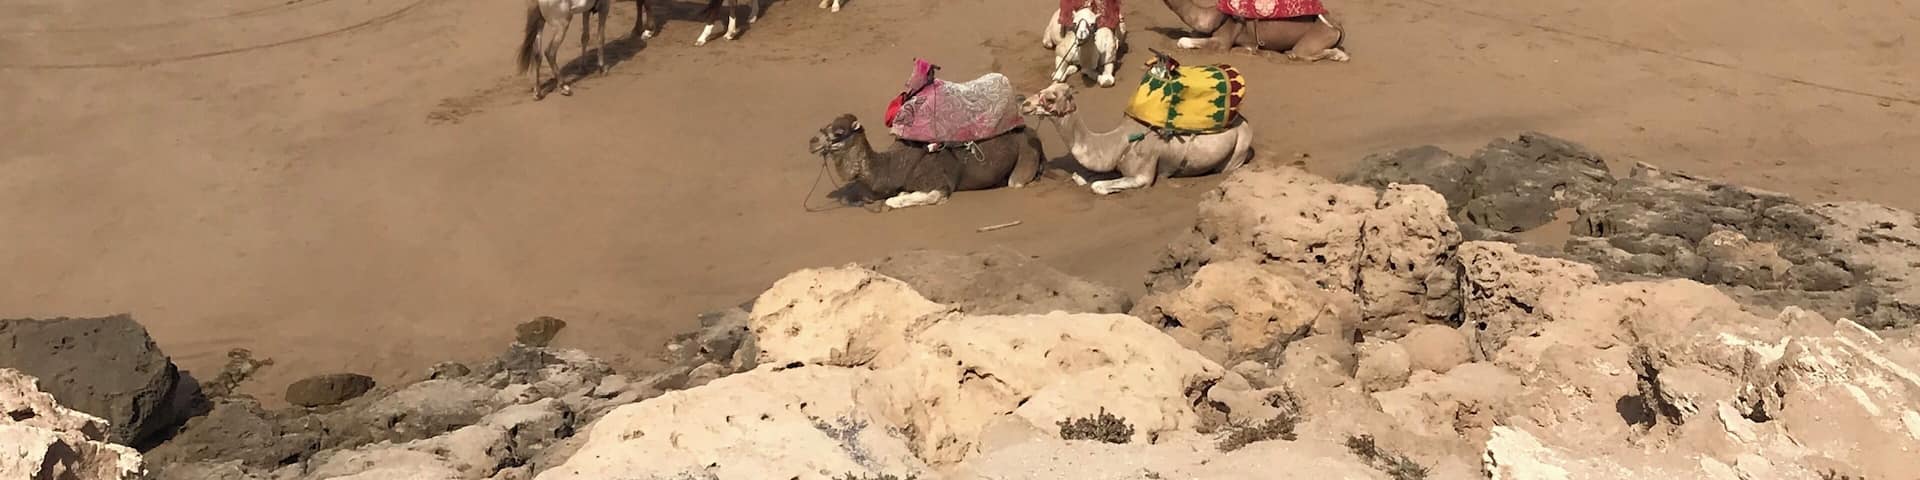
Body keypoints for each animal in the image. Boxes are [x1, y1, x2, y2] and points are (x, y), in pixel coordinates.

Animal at [807, 114, 1044, 212]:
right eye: (826, 125)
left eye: (839, 131)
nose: (812, 142)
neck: (894, 166)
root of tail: (1032, 132)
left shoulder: (939, 182)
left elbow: (923, 196)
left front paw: (894, 201)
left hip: (1025, 156)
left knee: (1016, 182)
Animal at [1021, 83, 1253, 195]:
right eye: (1047, 87)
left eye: (1050, 98)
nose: (1024, 104)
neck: (1115, 143)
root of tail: (1243, 120)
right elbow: (1082, 177)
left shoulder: (1143, 174)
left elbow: (1098, 186)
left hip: (1239, 148)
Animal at [1159, 0, 1348, 62]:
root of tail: (1336, 24)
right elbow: (1191, 35)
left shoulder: (1224, 39)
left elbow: (1183, 40)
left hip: (1319, 34)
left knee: (1299, 52)